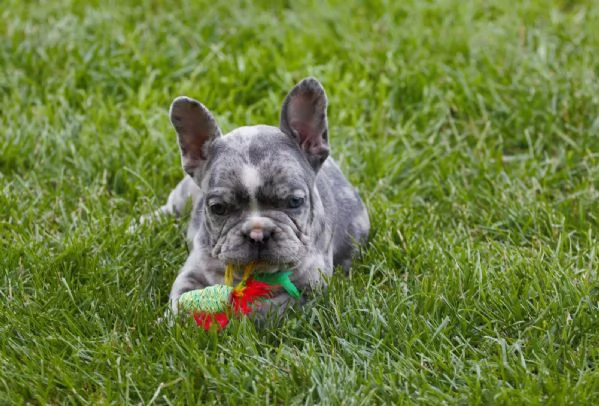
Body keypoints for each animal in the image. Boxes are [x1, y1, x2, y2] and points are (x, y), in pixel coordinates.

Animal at [154, 78, 370, 314]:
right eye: (217, 208)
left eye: (295, 201)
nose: (258, 233)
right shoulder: (193, 271)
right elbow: (181, 298)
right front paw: (177, 319)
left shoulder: (310, 286)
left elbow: (271, 307)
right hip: (182, 197)